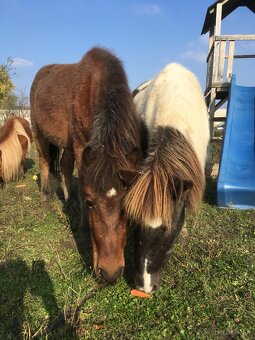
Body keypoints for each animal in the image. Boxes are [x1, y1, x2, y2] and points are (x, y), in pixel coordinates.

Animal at [29, 46, 145, 282]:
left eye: (127, 206)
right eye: (91, 202)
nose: (110, 273)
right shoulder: (82, 147)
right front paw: (83, 227)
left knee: (64, 166)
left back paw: (69, 200)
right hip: (39, 134)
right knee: (45, 163)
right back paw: (46, 198)